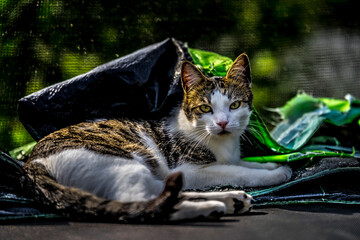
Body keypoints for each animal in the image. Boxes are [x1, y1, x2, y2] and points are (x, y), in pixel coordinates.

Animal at [23, 53, 292, 222]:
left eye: (235, 105)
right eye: (205, 108)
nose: (223, 122)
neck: (223, 145)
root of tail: (32, 163)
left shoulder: (225, 159)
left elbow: (241, 164)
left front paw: (272, 164)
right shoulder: (189, 168)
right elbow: (238, 171)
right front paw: (276, 173)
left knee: (163, 193)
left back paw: (230, 199)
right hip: (125, 163)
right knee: (145, 205)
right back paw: (213, 207)